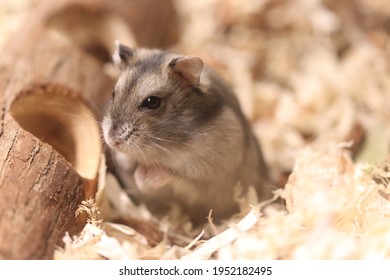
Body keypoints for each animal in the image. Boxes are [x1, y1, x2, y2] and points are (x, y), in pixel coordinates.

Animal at [101, 42, 272, 225]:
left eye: (152, 102)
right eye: (113, 93)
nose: (113, 141)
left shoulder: (204, 171)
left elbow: (172, 174)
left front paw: (144, 179)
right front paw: (135, 170)